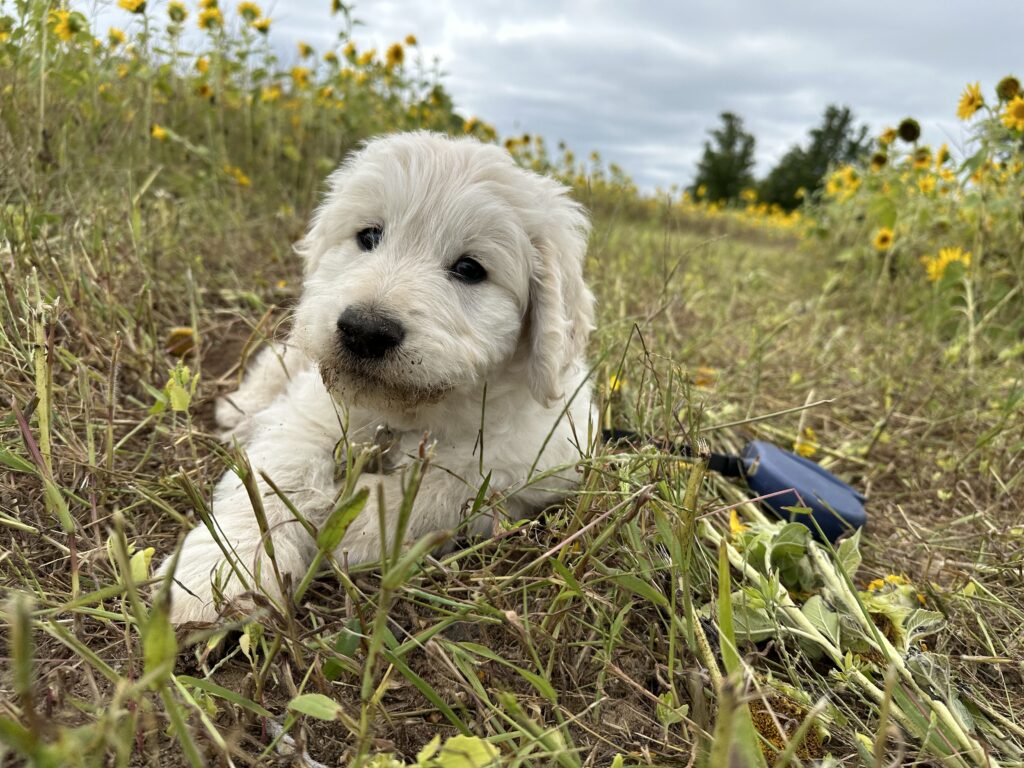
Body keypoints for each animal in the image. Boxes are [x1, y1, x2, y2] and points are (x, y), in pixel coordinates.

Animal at [158, 131, 596, 624]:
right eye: (369, 236)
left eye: (470, 269)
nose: (365, 330)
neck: (404, 415)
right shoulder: (309, 414)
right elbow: (278, 476)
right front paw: (218, 573)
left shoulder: (543, 458)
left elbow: (458, 483)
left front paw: (363, 525)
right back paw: (240, 412)